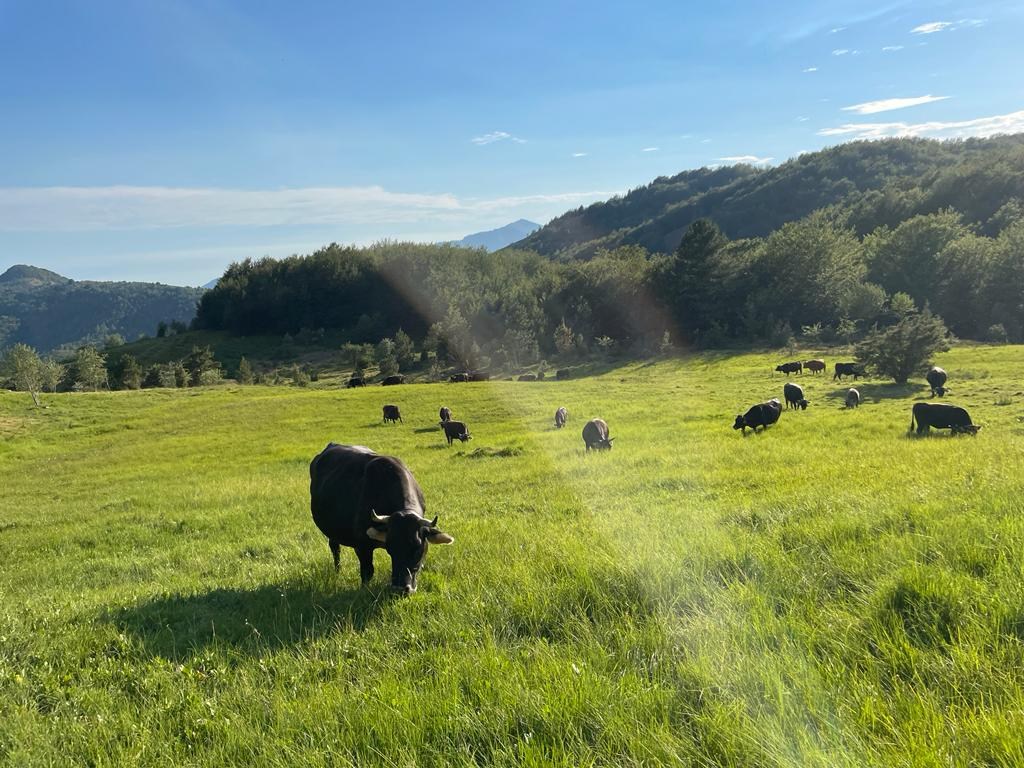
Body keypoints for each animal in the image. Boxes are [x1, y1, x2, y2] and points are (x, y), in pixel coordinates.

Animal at [309, 443, 453, 595]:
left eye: (417, 548)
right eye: (390, 548)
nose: (401, 588)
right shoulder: (362, 546)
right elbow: (367, 571)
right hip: (332, 532)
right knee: (335, 549)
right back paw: (337, 572)